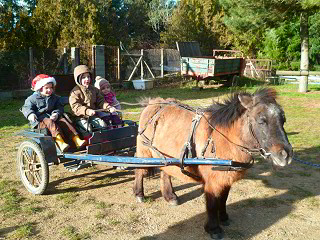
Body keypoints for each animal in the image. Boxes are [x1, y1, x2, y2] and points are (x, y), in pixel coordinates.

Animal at [132, 87, 292, 238]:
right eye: (261, 121)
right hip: (144, 152)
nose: (286, 155)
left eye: (283, 120)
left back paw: (170, 196)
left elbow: (223, 198)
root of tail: (152, 102)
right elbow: (213, 203)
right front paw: (214, 229)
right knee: (139, 171)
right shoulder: (212, 181)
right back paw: (139, 194)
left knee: (165, 173)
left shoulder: (226, 178)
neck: (222, 139)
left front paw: (224, 218)